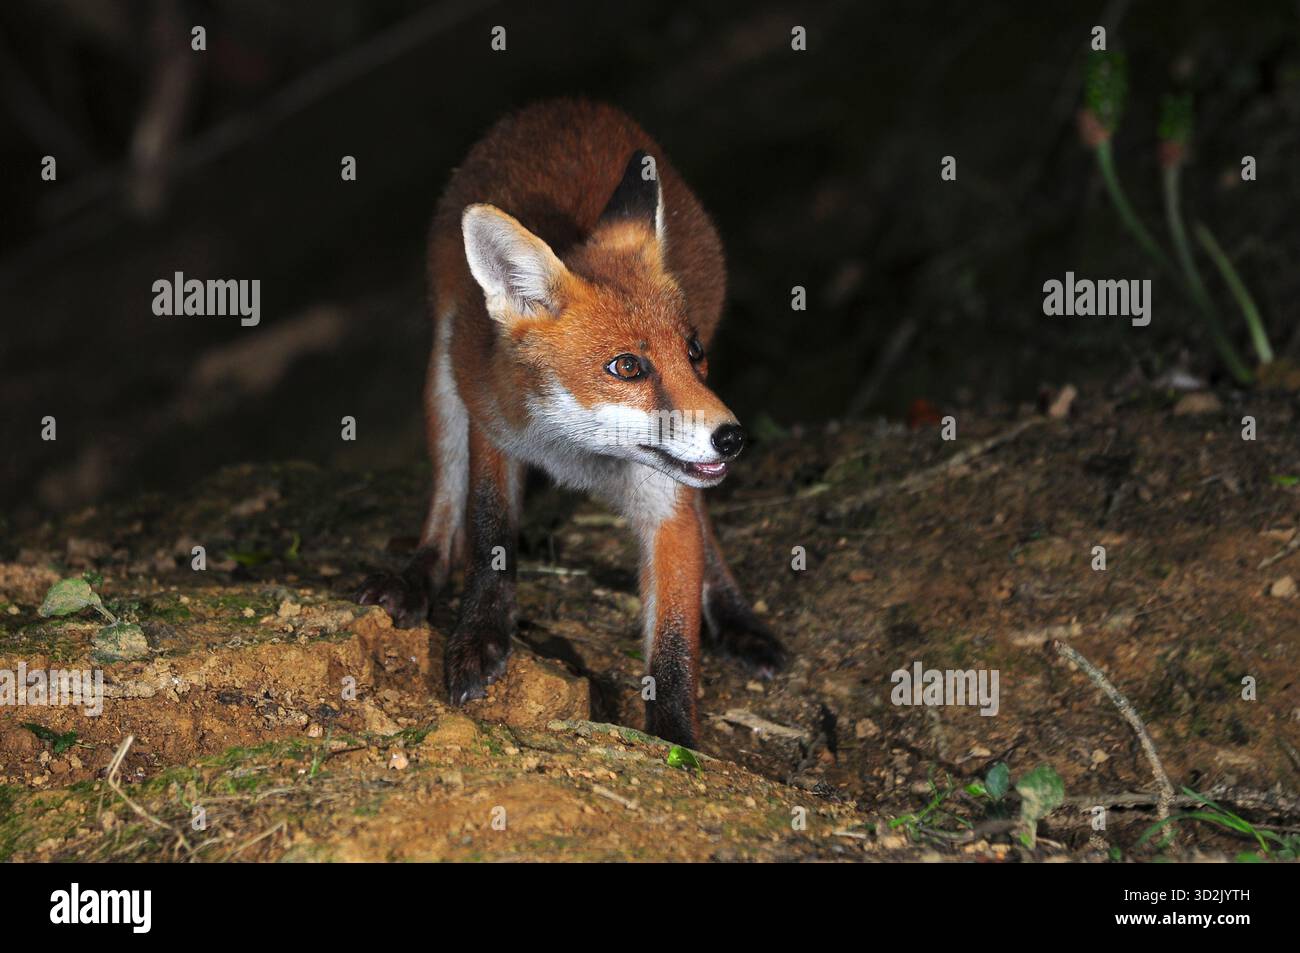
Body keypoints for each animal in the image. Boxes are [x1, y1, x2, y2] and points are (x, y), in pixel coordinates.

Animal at [357, 99, 785, 748]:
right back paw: (416, 576)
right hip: (443, 379)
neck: (576, 450)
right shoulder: (492, 425)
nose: (732, 438)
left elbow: (674, 644)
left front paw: (675, 742)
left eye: (694, 353)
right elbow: (488, 536)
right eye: (627, 366)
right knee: (444, 510)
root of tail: (567, 104)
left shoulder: (668, 500)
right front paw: (479, 636)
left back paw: (735, 614)